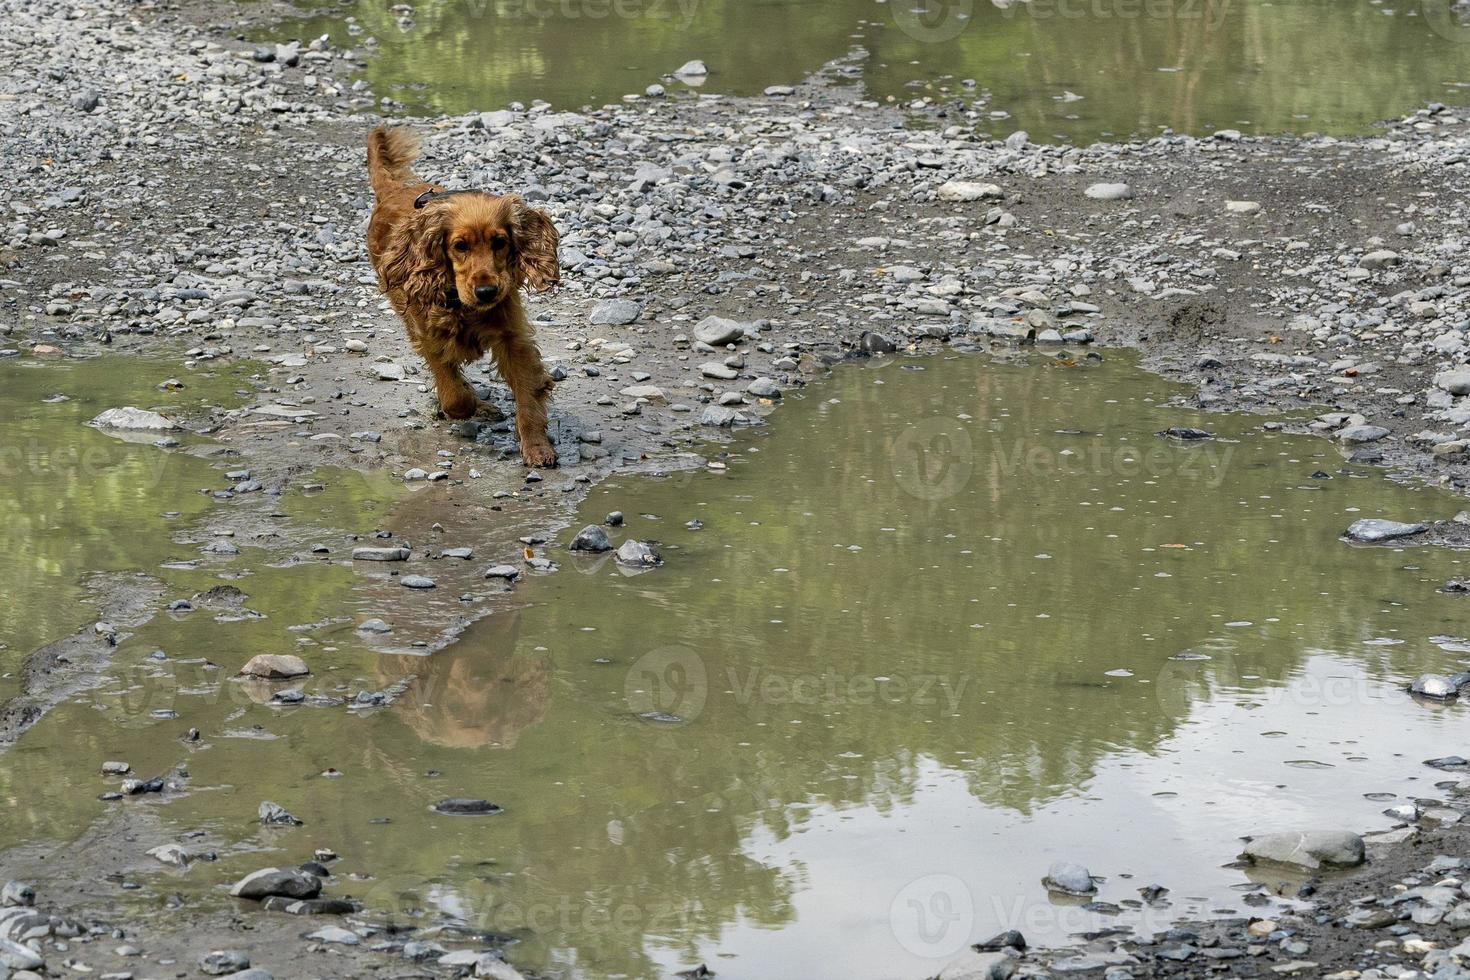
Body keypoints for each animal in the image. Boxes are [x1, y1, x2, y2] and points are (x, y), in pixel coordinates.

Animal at [367, 124, 561, 470]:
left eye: (500, 242)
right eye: (460, 246)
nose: (487, 291)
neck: (464, 304)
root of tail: (392, 191)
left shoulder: (512, 336)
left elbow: (528, 390)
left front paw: (537, 447)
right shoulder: (429, 335)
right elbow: (454, 395)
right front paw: (470, 403)